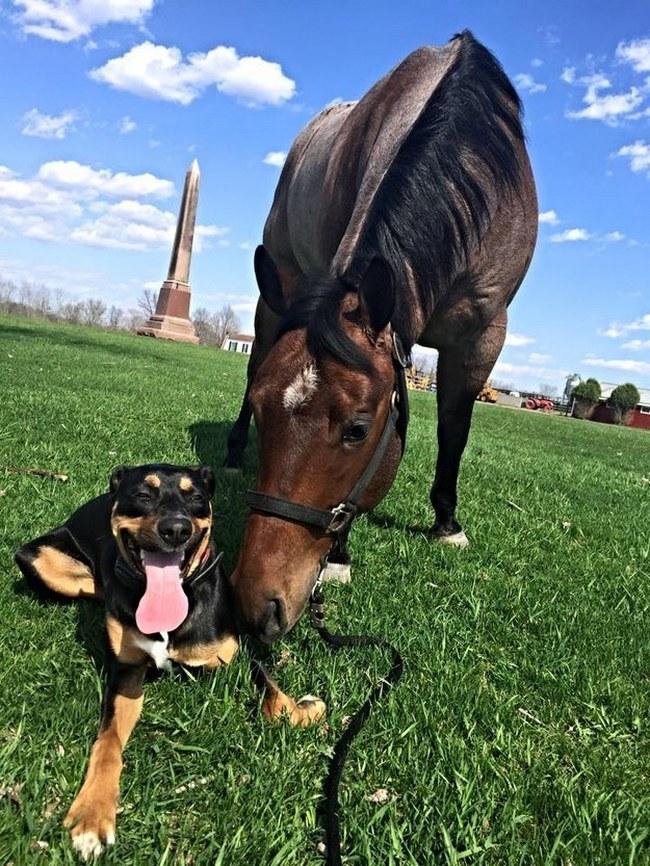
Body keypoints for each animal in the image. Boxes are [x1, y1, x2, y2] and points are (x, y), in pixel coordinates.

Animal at [13, 462, 322, 852]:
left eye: (196, 497)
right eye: (143, 494)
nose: (176, 529)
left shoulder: (232, 652)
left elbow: (272, 693)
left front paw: (304, 709)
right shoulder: (127, 673)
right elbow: (108, 741)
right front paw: (92, 813)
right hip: (33, 556)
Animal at [225, 32, 536, 640]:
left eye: (357, 430)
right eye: (267, 413)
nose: (256, 602)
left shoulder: (484, 335)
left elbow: (454, 429)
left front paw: (446, 521)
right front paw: (341, 556)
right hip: (277, 288)